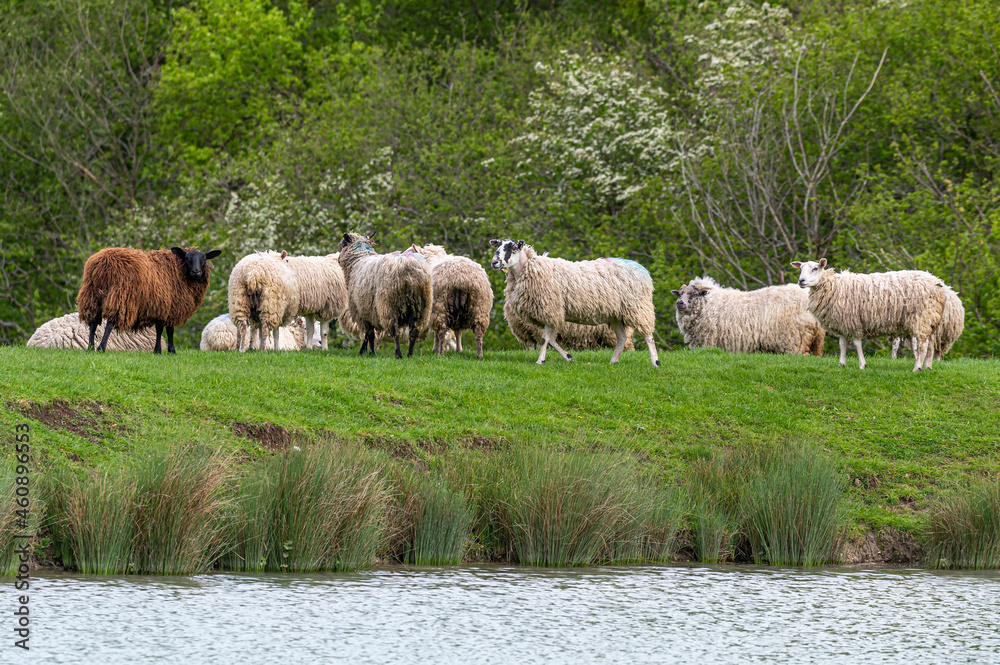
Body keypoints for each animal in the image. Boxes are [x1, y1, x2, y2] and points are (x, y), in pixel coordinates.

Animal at [77, 246, 221, 353]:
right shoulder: (172, 307)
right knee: (109, 324)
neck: (180, 271)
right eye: (187, 258)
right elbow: (170, 330)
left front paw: (157, 351)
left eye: (204, 258)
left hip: (92, 296)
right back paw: (101, 348)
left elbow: (159, 329)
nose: (196, 271)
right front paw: (171, 351)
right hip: (120, 296)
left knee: (93, 323)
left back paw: (90, 348)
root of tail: (101, 265)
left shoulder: (161, 307)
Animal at [670, 277, 825, 356]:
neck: (708, 303)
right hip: (817, 339)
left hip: (796, 338)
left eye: (694, 294)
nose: (679, 303)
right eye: (680, 293)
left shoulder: (708, 340)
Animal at [791, 258, 946, 372]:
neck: (833, 285)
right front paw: (842, 364)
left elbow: (857, 344)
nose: (801, 281)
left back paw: (917, 368)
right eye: (800, 269)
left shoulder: (853, 321)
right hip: (931, 319)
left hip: (922, 318)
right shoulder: (842, 322)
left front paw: (862, 365)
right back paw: (928, 366)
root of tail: (938, 283)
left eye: (815, 268)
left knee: (922, 345)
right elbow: (842, 344)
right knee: (930, 344)